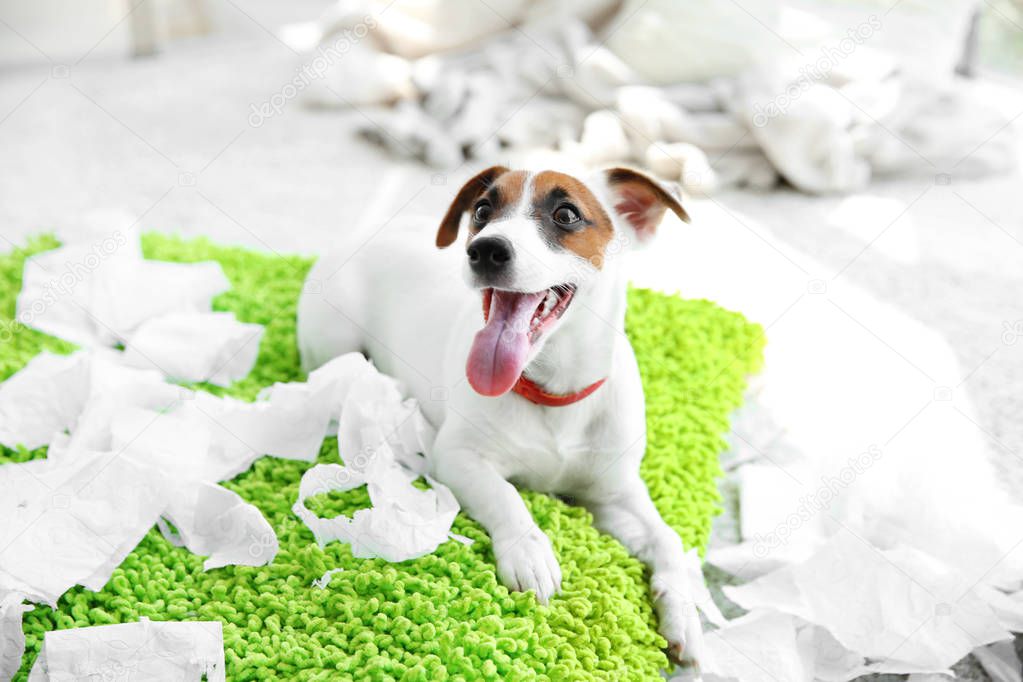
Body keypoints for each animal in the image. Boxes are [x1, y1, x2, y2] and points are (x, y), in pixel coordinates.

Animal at [298, 165, 703, 666]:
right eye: (482, 211)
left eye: (566, 214)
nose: (485, 249)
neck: (550, 394)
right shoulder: (457, 457)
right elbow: (505, 495)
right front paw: (530, 552)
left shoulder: (616, 493)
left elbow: (668, 538)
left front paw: (684, 613)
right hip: (332, 344)